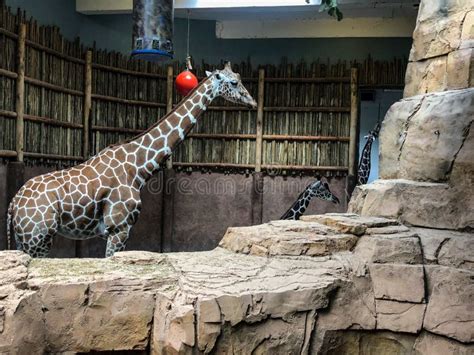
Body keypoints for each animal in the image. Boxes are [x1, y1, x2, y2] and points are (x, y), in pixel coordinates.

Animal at [6, 62, 256, 258]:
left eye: (239, 77)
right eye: (234, 83)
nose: (253, 103)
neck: (138, 167)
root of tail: (13, 204)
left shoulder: (116, 231)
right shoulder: (119, 227)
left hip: (24, 240)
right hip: (38, 238)